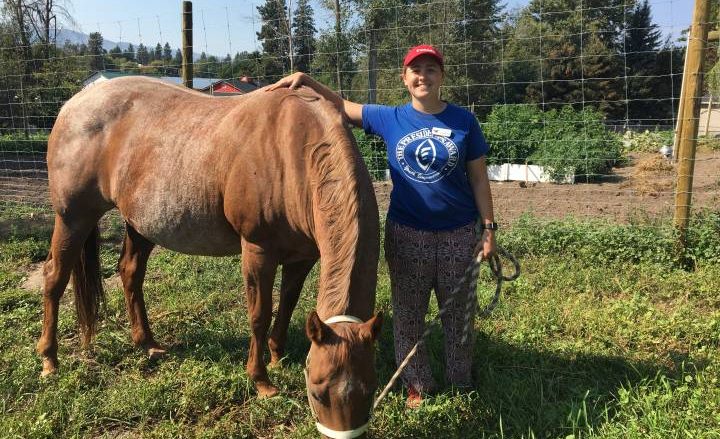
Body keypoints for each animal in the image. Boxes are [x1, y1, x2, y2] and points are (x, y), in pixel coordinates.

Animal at [36, 76, 382, 436]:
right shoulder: (258, 250)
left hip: (141, 223)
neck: (295, 152)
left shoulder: (302, 258)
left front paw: (277, 356)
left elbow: (286, 306)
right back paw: (49, 359)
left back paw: (147, 344)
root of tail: (76, 101)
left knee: (130, 272)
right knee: (55, 277)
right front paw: (261, 380)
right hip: (73, 218)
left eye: (371, 389)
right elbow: (260, 314)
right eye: (316, 391)